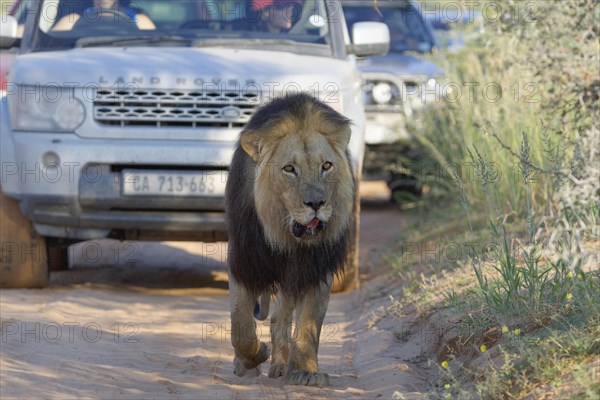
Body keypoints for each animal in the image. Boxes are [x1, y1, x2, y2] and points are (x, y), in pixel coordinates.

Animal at [225, 92, 356, 386]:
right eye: (289, 169)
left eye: (326, 166)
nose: (316, 203)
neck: (287, 238)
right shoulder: (244, 263)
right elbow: (240, 326)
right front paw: (253, 357)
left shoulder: (316, 269)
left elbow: (309, 324)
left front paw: (306, 372)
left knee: (279, 318)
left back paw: (282, 366)